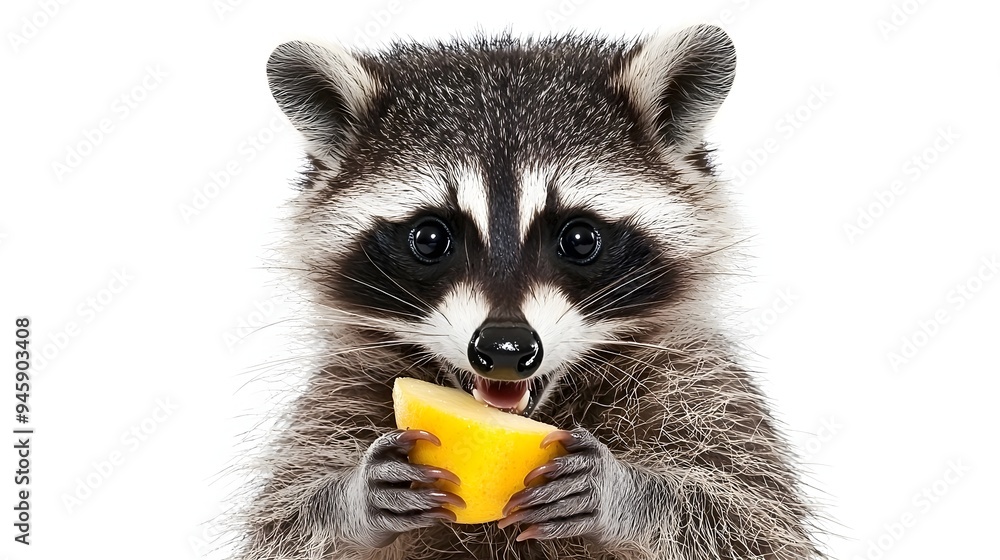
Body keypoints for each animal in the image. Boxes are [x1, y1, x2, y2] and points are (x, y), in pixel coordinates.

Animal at [233, 25, 823, 560]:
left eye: (580, 239)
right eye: (430, 239)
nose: (504, 348)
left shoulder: (704, 391)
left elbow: (750, 525)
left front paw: (629, 494)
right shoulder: (335, 400)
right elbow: (280, 527)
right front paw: (348, 501)